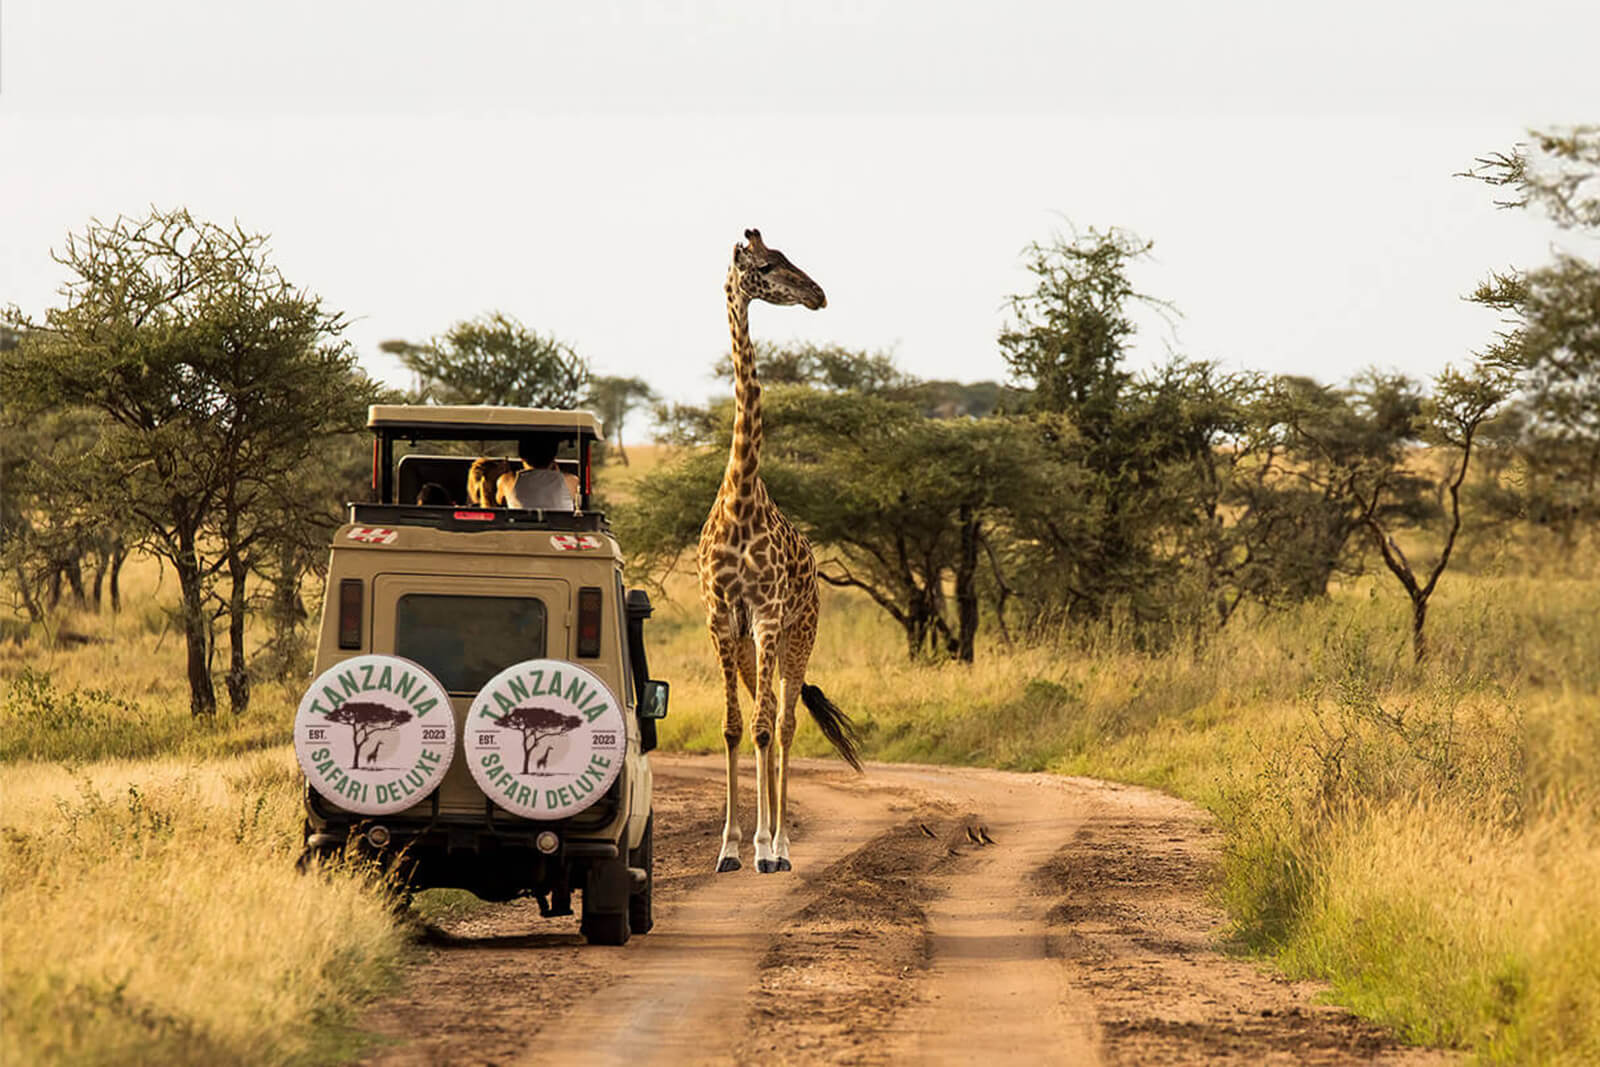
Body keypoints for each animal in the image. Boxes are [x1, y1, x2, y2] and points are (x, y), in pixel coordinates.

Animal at [698, 228, 862, 875]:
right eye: (767, 266)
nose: (818, 294)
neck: (741, 497)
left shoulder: (768, 617)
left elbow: (768, 727)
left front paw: (766, 847)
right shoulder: (724, 620)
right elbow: (733, 726)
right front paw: (728, 849)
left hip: (800, 634)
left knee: (787, 722)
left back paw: (783, 846)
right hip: (751, 645)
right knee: (763, 715)